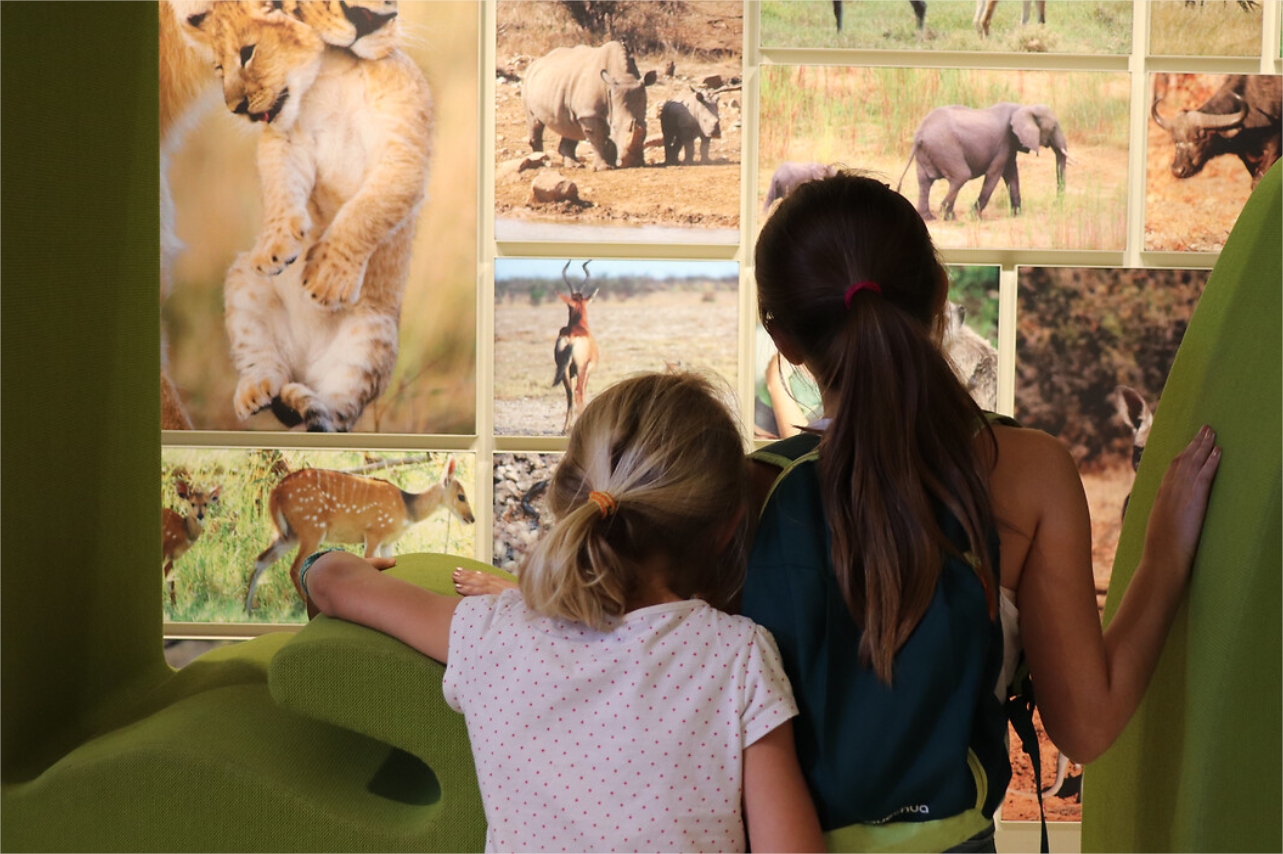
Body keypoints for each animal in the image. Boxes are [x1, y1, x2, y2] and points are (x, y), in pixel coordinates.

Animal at [246, 456, 477, 607]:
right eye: (461, 496)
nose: (471, 518)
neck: (406, 510)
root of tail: (275, 492)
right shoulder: (374, 532)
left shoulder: (387, 542)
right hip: (312, 527)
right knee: (294, 567)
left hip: (288, 534)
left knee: (261, 560)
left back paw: (247, 609)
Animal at [523, 40, 656, 170]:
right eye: (614, 127)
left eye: (646, 129)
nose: (634, 163)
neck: (623, 77)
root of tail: (536, 63)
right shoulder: (590, 113)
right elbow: (597, 139)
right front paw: (604, 168)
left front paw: (612, 164)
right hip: (529, 83)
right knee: (535, 122)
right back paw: (540, 161)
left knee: (570, 126)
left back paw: (575, 165)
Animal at [551, 257, 600, 433]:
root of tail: (571, 336)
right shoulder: (587, 371)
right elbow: (584, 393)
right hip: (580, 368)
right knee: (578, 392)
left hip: (563, 370)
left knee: (569, 394)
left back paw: (565, 428)